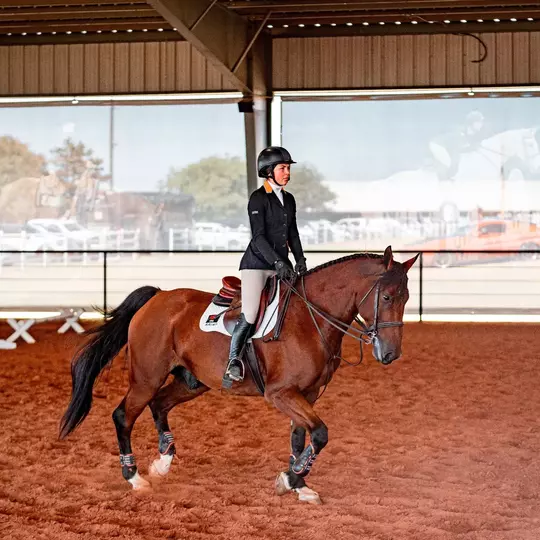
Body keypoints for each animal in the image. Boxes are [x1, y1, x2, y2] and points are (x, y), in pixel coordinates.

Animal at [61, 247, 420, 504]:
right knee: (124, 415)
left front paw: (299, 483)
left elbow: (300, 436)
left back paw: (162, 463)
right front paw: (290, 479)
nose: (390, 354)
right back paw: (134, 478)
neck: (310, 318)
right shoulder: (281, 394)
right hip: (146, 378)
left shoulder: (307, 394)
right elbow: (319, 434)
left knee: (160, 405)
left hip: (192, 381)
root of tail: (158, 297)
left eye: (406, 298)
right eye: (386, 297)